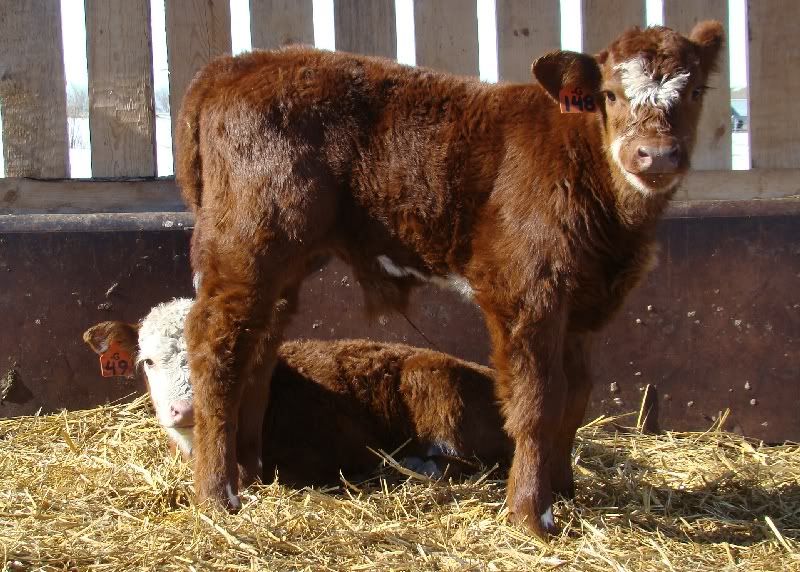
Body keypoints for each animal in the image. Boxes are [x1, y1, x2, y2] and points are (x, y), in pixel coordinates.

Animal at [175, 22, 724, 535]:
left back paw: (251, 471)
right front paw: (532, 513)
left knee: (259, 346)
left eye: (697, 90)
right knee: (215, 343)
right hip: (248, 242)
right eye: (609, 94)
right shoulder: (526, 290)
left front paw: (565, 492)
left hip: (286, 260)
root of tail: (232, 66)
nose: (655, 154)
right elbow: (538, 400)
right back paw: (218, 493)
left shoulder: (580, 307)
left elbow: (577, 396)